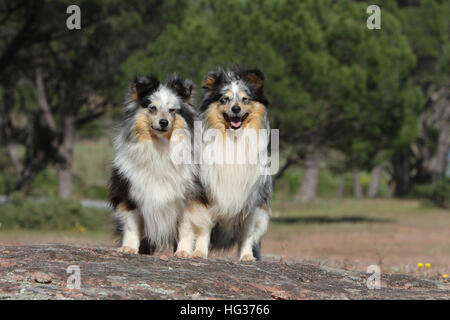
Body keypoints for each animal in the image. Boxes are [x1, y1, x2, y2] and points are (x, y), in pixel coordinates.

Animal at [108, 74, 200, 254]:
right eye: (152, 108)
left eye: (172, 110)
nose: (163, 122)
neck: (160, 146)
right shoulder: (131, 192)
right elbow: (131, 224)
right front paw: (129, 248)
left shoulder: (187, 196)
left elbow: (185, 226)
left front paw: (184, 252)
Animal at [177, 68, 272, 262]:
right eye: (224, 99)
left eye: (245, 99)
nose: (236, 109)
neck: (232, 138)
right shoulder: (207, 193)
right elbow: (204, 227)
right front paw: (199, 252)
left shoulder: (251, 199)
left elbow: (247, 233)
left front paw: (246, 256)